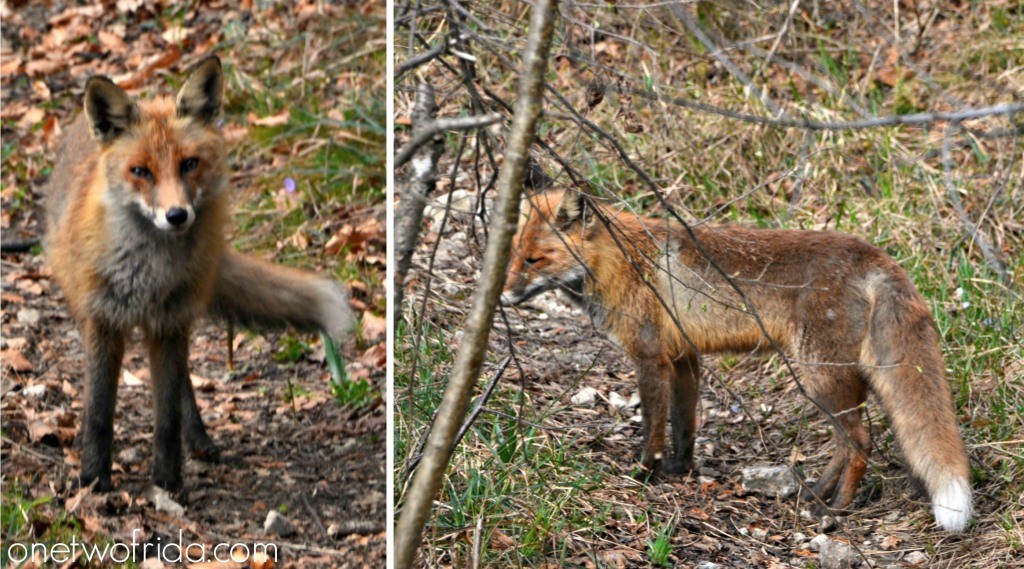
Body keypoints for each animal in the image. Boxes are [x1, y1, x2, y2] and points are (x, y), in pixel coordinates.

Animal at [45, 56, 354, 494]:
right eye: (140, 171)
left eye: (189, 164)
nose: (177, 215)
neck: (148, 274)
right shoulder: (103, 321)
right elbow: (100, 412)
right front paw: (94, 480)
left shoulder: (170, 323)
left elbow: (167, 417)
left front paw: (167, 482)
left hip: (176, 324)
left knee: (184, 388)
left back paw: (198, 438)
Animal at [501, 189, 972, 532]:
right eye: (512, 255)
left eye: (535, 260)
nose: (502, 297)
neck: (622, 261)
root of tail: (875, 253)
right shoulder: (685, 357)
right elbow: (684, 424)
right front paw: (679, 470)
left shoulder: (650, 357)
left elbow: (653, 424)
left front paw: (643, 472)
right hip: (830, 381)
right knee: (846, 443)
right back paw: (815, 493)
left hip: (820, 378)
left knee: (859, 442)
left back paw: (835, 509)